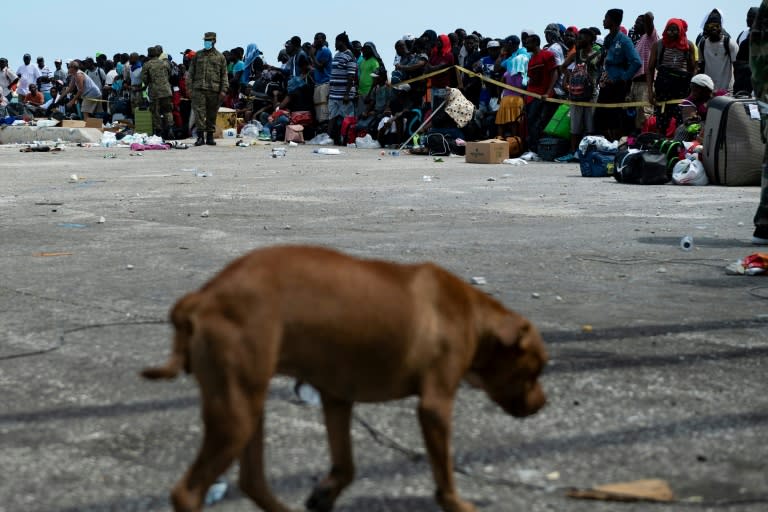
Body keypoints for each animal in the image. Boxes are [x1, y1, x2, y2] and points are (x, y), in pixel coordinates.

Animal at [142, 245, 544, 512]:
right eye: (537, 368)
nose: (544, 403)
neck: (475, 317)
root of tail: (202, 297)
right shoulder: (435, 405)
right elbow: (443, 471)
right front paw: (457, 504)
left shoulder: (337, 399)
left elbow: (346, 465)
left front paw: (326, 493)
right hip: (236, 411)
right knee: (188, 492)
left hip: (246, 402)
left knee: (251, 480)